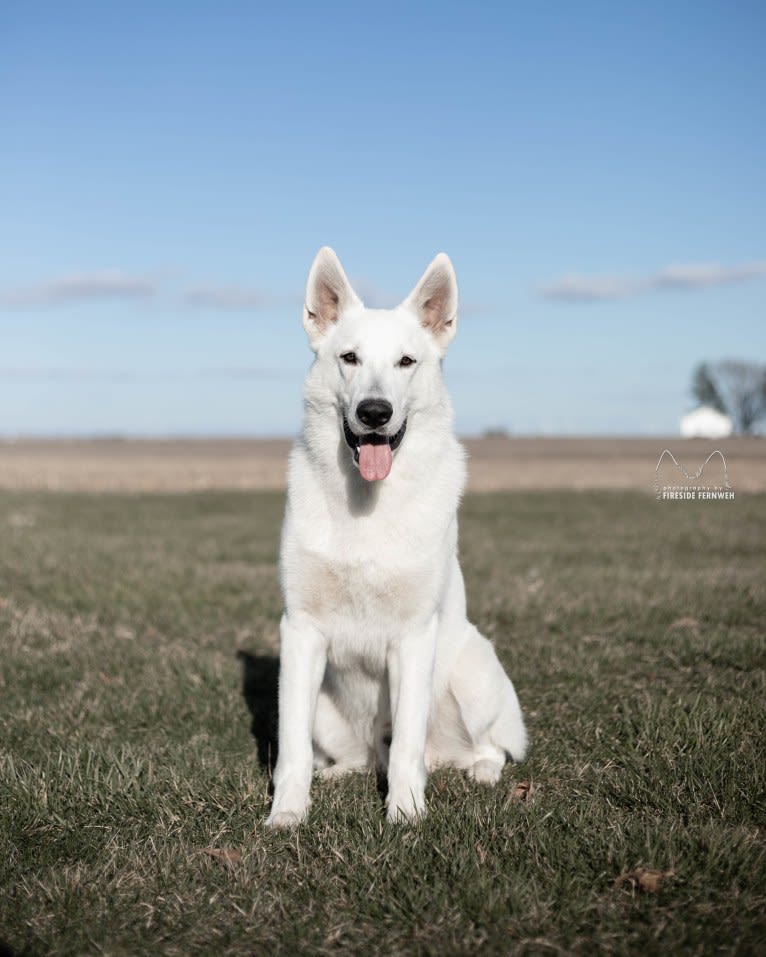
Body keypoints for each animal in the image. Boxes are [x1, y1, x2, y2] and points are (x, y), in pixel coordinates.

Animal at [266, 250, 528, 824]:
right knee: (360, 757)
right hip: (326, 707)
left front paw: (405, 815)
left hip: (473, 670)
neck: (367, 505)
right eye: (349, 358)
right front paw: (286, 816)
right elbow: (292, 747)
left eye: (407, 362)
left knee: (487, 747)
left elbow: (407, 743)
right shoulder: (300, 631)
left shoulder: (412, 637)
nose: (374, 412)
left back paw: (481, 772)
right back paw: (339, 773)